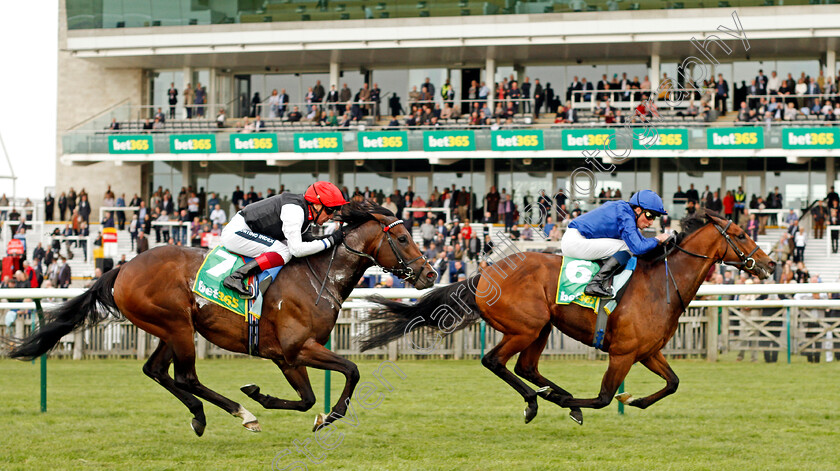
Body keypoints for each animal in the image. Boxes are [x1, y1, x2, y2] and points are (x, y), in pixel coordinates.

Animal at [9, 201, 436, 436]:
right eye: (402, 238)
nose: (430, 273)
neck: (318, 276)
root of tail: (122, 268)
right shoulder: (298, 348)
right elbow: (351, 371)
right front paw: (327, 417)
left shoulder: (285, 357)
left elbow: (307, 399)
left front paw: (266, 396)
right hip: (177, 325)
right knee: (185, 376)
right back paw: (240, 413)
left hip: (171, 328)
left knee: (156, 370)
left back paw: (202, 415)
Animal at [360, 212, 776, 426]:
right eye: (741, 234)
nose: (770, 264)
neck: (662, 283)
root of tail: (485, 274)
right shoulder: (623, 353)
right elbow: (605, 397)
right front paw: (576, 400)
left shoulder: (647, 351)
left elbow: (672, 383)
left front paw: (634, 400)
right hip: (524, 326)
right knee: (495, 361)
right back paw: (537, 401)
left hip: (542, 327)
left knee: (526, 367)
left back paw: (551, 395)